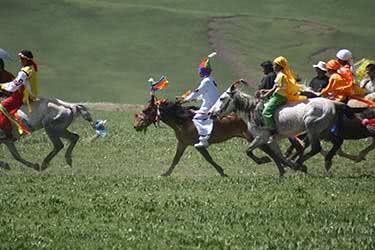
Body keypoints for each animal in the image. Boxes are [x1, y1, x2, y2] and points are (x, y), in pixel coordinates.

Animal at [134, 94, 298, 177]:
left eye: (147, 110)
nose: (136, 126)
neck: (183, 120)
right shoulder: (183, 144)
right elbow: (175, 160)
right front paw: (166, 173)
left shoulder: (197, 144)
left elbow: (209, 159)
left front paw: (222, 172)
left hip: (253, 137)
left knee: (269, 152)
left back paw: (280, 168)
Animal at [212, 80, 356, 172]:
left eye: (222, 98)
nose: (211, 113)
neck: (252, 110)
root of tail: (333, 103)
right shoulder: (271, 140)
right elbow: (279, 155)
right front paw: (290, 166)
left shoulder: (261, 137)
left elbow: (248, 150)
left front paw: (264, 160)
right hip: (324, 131)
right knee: (337, 141)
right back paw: (326, 161)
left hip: (312, 129)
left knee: (316, 148)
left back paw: (300, 162)